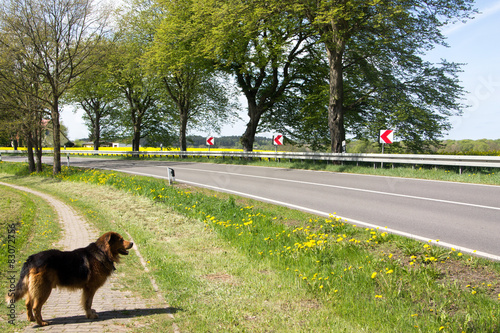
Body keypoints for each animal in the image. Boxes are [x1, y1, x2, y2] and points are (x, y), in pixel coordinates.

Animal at [5, 231, 133, 324]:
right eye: (121, 240)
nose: (132, 243)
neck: (103, 252)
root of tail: (31, 259)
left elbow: (87, 303)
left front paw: (90, 313)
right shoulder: (90, 288)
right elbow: (88, 302)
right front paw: (90, 315)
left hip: (33, 288)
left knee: (28, 303)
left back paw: (31, 319)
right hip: (43, 289)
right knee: (36, 307)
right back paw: (41, 323)